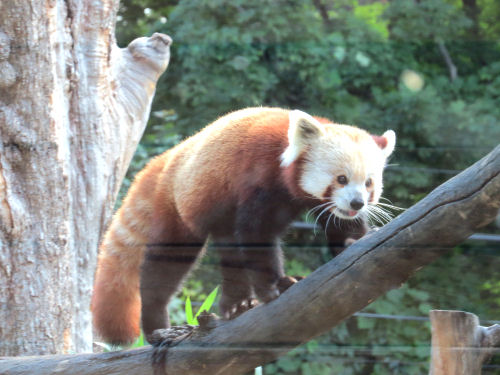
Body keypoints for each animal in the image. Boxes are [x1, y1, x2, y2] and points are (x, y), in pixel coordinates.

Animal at [90, 107, 394, 346]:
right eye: (341, 179)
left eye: (368, 183)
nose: (357, 203)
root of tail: (166, 161)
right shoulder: (258, 177)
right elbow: (256, 235)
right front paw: (276, 285)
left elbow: (338, 222)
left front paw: (353, 241)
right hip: (177, 207)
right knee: (166, 265)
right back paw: (158, 327)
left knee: (230, 255)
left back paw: (236, 304)